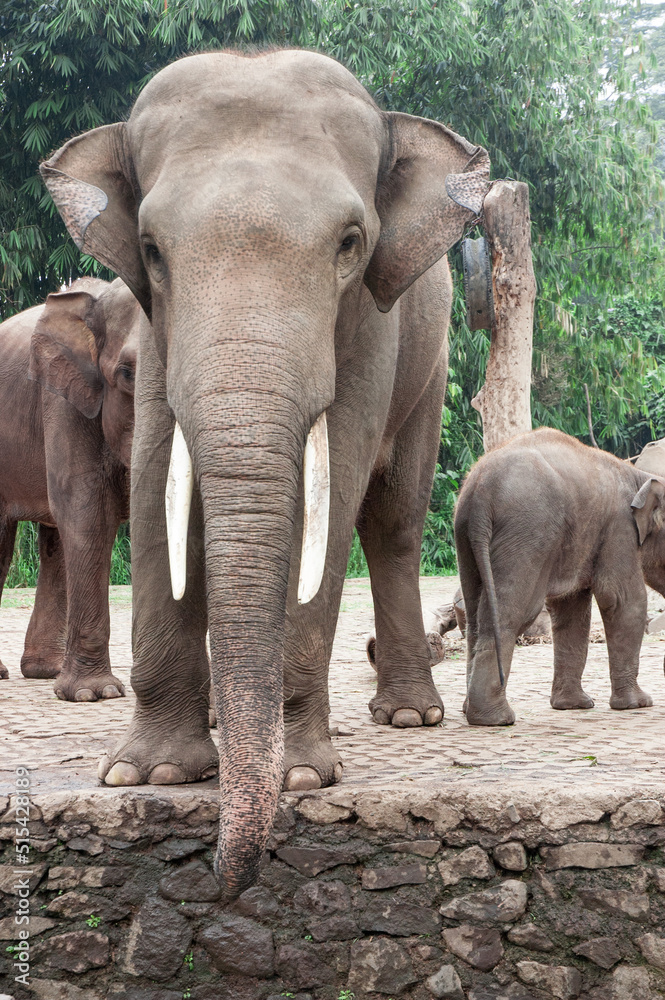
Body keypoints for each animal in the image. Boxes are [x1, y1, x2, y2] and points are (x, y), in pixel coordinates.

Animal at [0, 277, 139, 700]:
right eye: (127, 374)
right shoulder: (62, 401)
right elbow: (87, 512)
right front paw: (95, 694)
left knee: (54, 545)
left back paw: (45, 671)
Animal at [41, 48, 490, 897]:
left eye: (349, 242)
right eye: (151, 249)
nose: (224, 881)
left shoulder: (371, 328)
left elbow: (334, 491)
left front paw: (301, 778)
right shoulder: (155, 335)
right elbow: (155, 480)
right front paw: (148, 775)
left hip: (431, 364)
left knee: (393, 523)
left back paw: (408, 716)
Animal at [454, 427, 660, 726]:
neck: (638, 475)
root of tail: (480, 488)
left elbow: (572, 610)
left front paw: (573, 706)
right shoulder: (619, 526)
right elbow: (622, 600)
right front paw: (638, 703)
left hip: (464, 536)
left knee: (473, 616)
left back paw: (470, 709)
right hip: (527, 532)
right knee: (513, 613)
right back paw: (496, 719)